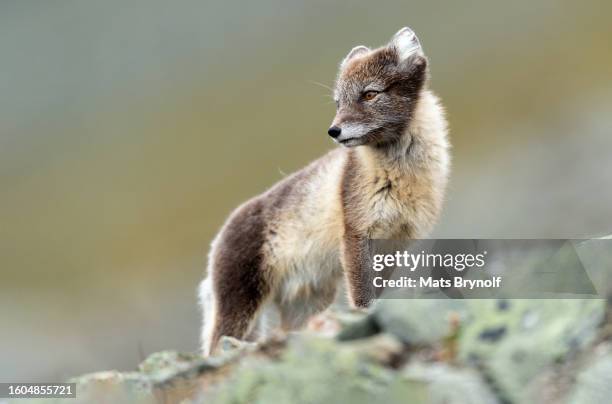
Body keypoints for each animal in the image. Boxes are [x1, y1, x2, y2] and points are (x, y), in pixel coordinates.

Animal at [201, 26, 450, 354]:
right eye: (337, 102)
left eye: (369, 94)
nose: (334, 131)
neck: (400, 175)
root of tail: (219, 236)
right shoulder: (357, 232)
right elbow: (361, 296)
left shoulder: (396, 242)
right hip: (241, 306)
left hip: (307, 305)